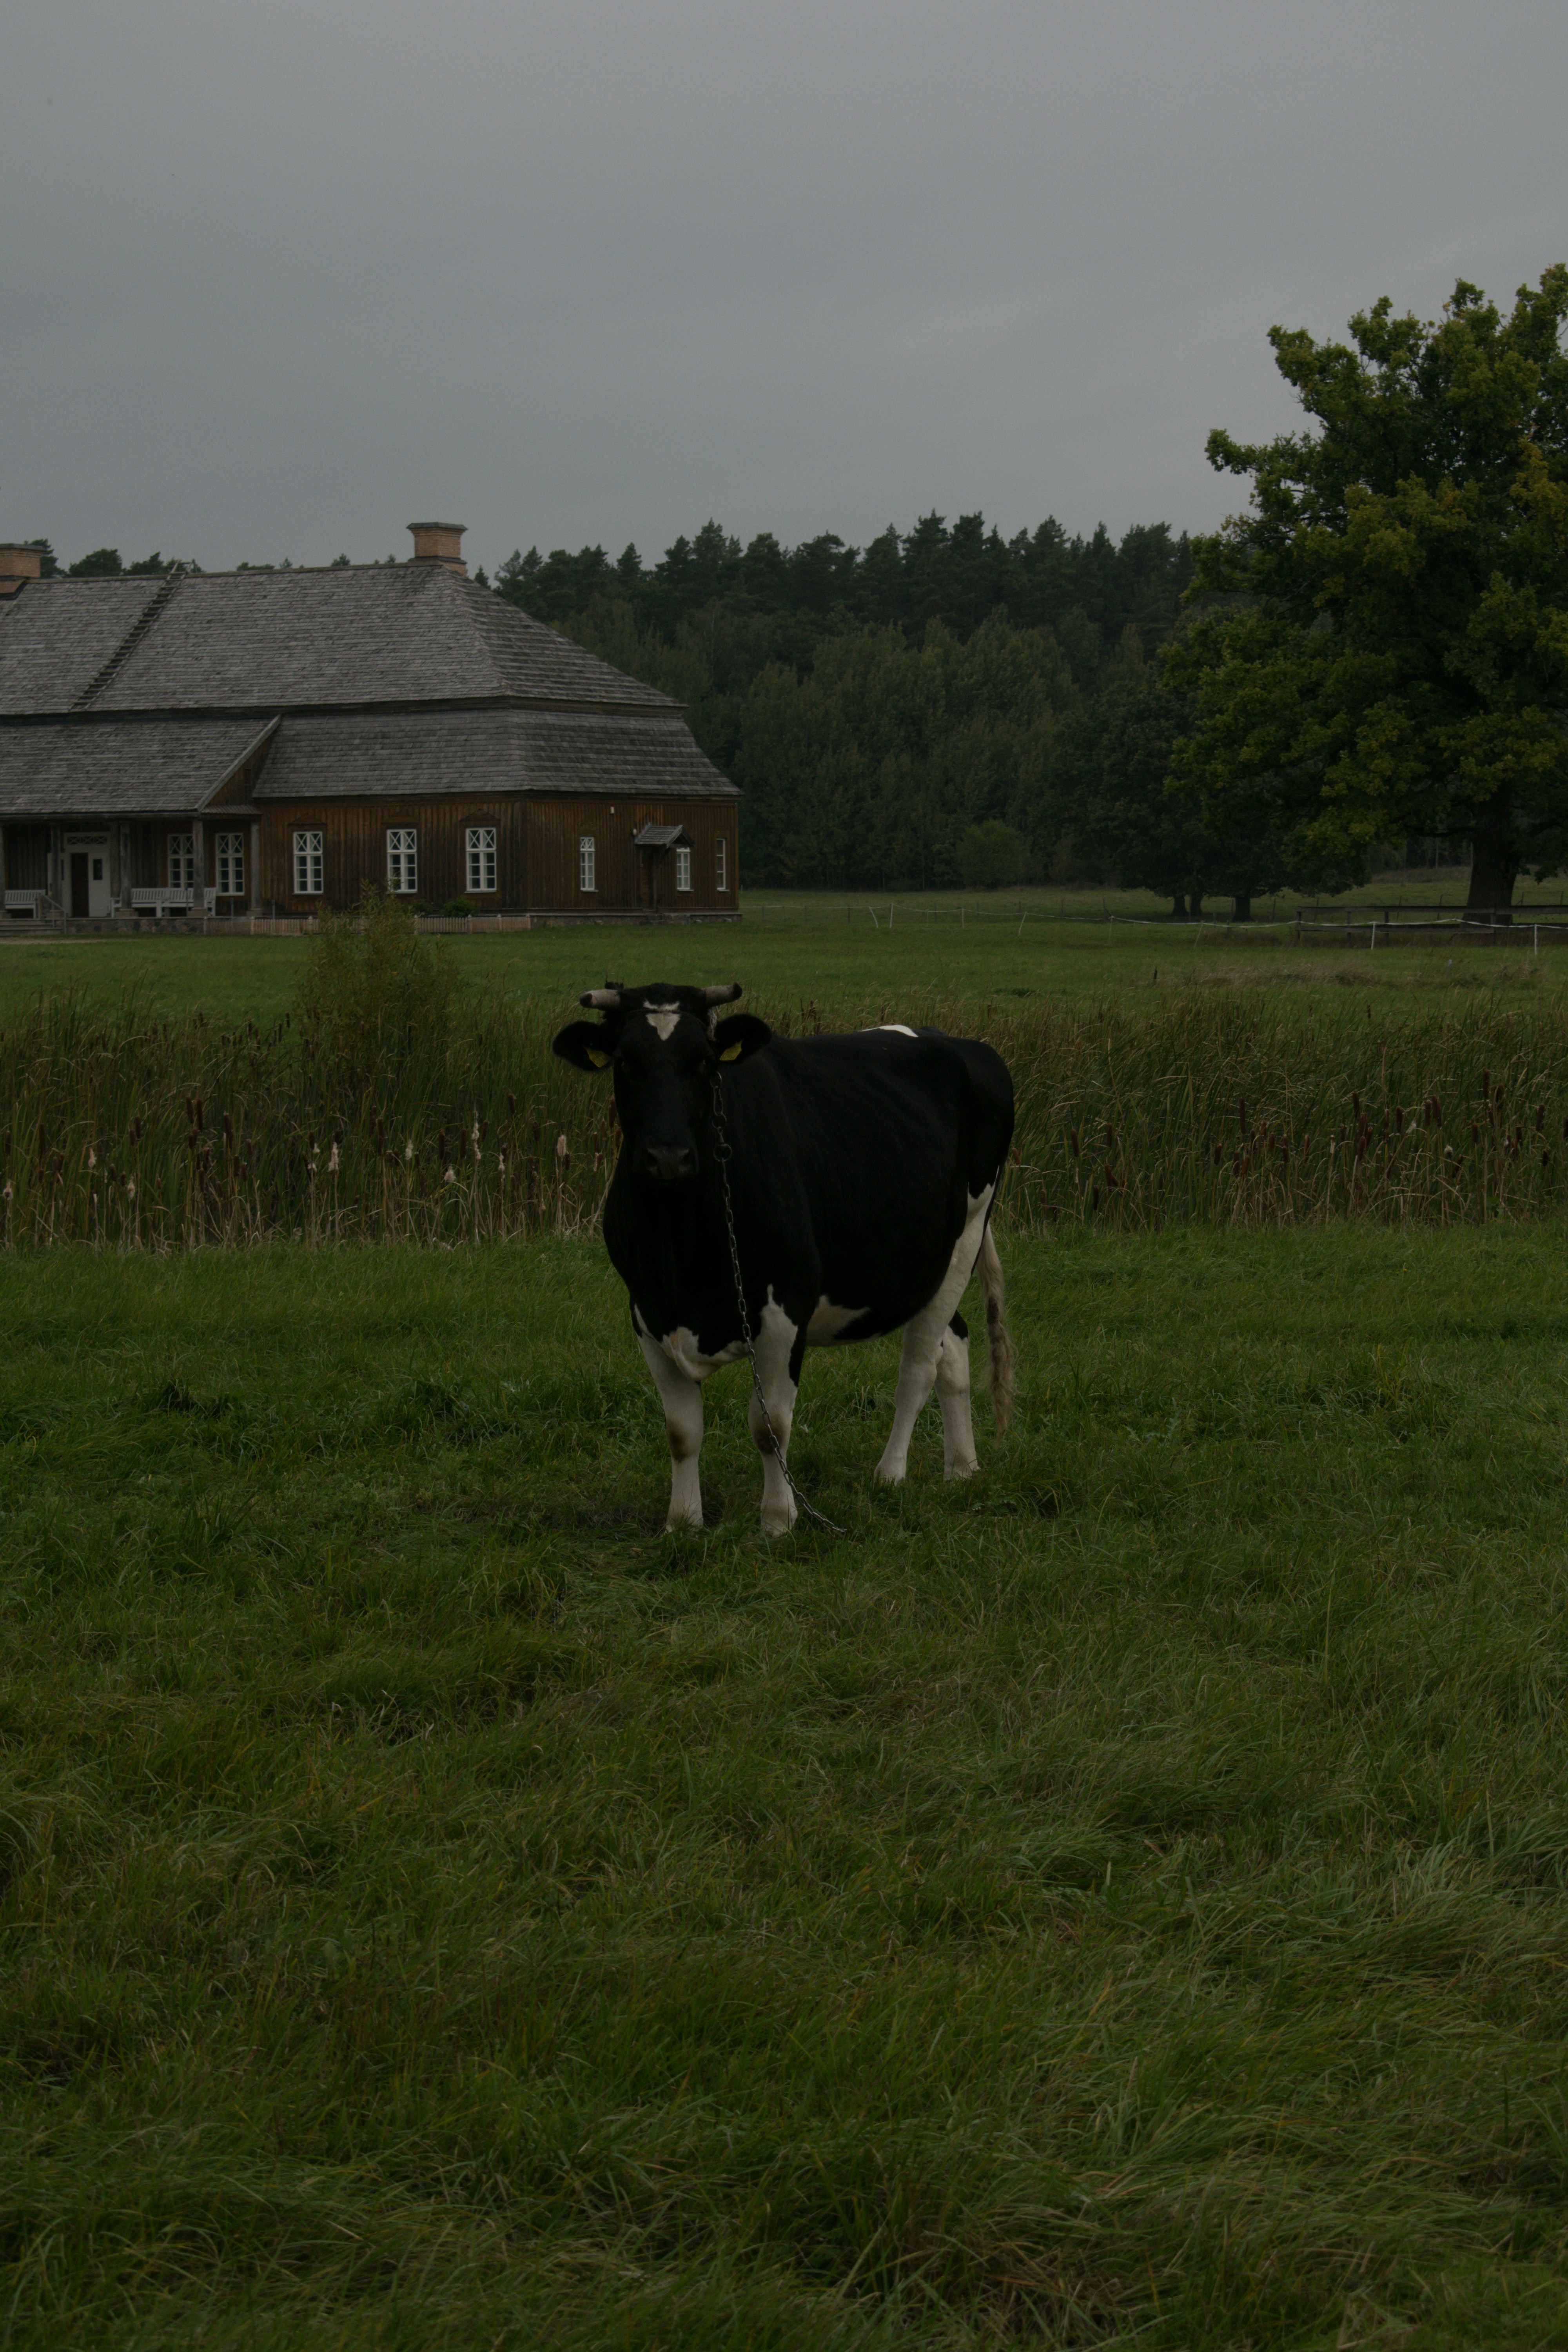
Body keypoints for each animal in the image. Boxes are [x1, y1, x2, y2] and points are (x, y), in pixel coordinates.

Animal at [552, 981, 1016, 1535]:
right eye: (625, 1062)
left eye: (704, 1062)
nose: (667, 1157)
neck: (679, 1253)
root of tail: (964, 1045)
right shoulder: (647, 1311)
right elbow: (681, 1431)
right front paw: (683, 1522)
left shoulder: (786, 1306)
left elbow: (769, 1424)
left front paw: (777, 1520)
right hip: (922, 1266)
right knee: (955, 1347)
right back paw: (962, 1467)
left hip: (964, 1238)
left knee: (919, 1368)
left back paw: (890, 1473)